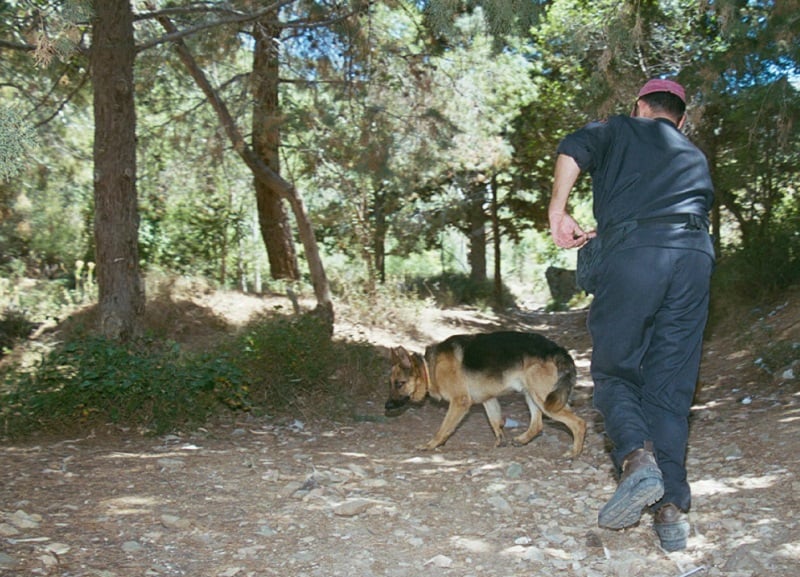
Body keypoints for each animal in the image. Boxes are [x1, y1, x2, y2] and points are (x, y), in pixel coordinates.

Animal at [384, 330, 584, 456]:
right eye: (390, 384)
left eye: (399, 384)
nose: (386, 406)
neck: (429, 367)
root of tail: (557, 349)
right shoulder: (489, 400)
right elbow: (496, 423)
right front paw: (500, 442)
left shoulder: (460, 402)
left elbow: (443, 429)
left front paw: (431, 445)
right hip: (531, 395)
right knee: (537, 425)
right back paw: (522, 440)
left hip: (544, 399)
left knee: (579, 423)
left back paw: (574, 452)